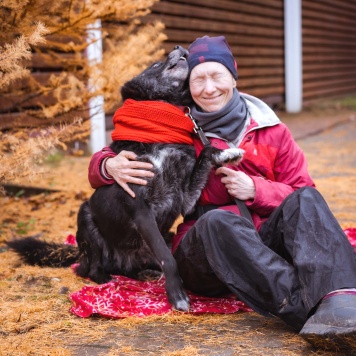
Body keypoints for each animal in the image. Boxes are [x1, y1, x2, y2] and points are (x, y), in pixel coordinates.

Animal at [6, 47, 243, 312]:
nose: (180, 48)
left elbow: (206, 152)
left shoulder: (185, 200)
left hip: (160, 238)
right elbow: (167, 258)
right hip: (86, 220)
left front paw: (225, 153)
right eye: (155, 64)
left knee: (130, 268)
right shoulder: (141, 210)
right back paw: (105, 281)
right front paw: (178, 295)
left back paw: (143, 274)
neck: (161, 127)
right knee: (88, 269)